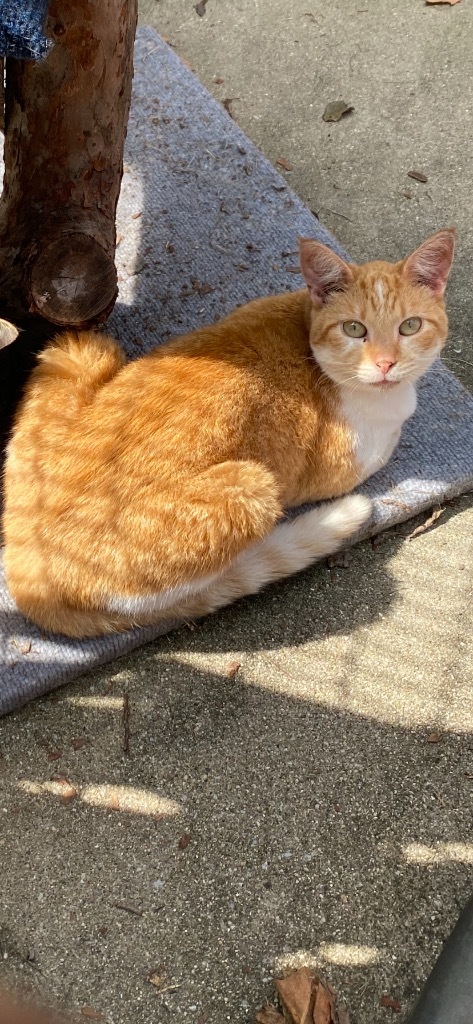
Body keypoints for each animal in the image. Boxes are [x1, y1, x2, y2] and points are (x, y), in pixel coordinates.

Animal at [2, 230, 454, 638]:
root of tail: (26, 572)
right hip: (252, 488)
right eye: (355, 329)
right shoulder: (353, 458)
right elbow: (391, 437)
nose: (386, 364)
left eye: (410, 327)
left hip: (79, 348)